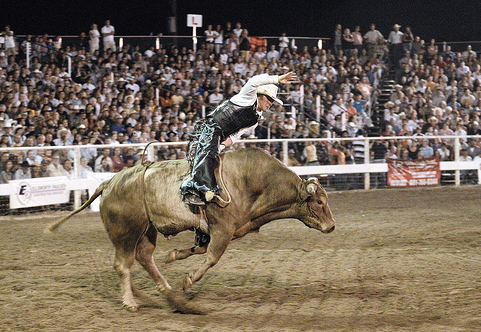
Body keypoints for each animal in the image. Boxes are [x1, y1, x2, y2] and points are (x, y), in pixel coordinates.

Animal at [47, 148, 336, 312]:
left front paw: (175, 255)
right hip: (126, 232)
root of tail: (109, 183)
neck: (254, 182)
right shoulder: (223, 229)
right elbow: (212, 257)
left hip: (147, 230)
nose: (332, 226)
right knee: (123, 264)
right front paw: (188, 280)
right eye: (319, 202)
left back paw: (167, 292)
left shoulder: (218, 230)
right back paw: (131, 301)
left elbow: (199, 248)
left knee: (145, 257)